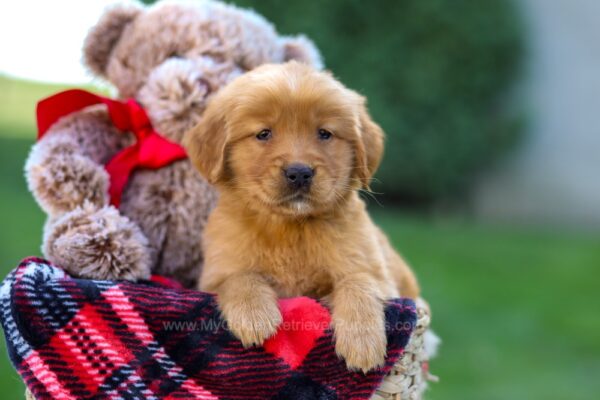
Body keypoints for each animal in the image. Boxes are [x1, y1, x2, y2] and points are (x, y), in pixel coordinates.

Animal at [185, 61, 420, 372]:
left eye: (324, 133)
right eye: (263, 133)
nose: (299, 173)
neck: (290, 227)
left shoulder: (375, 272)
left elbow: (358, 282)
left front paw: (362, 342)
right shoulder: (215, 274)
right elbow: (239, 277)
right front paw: (253, 315)